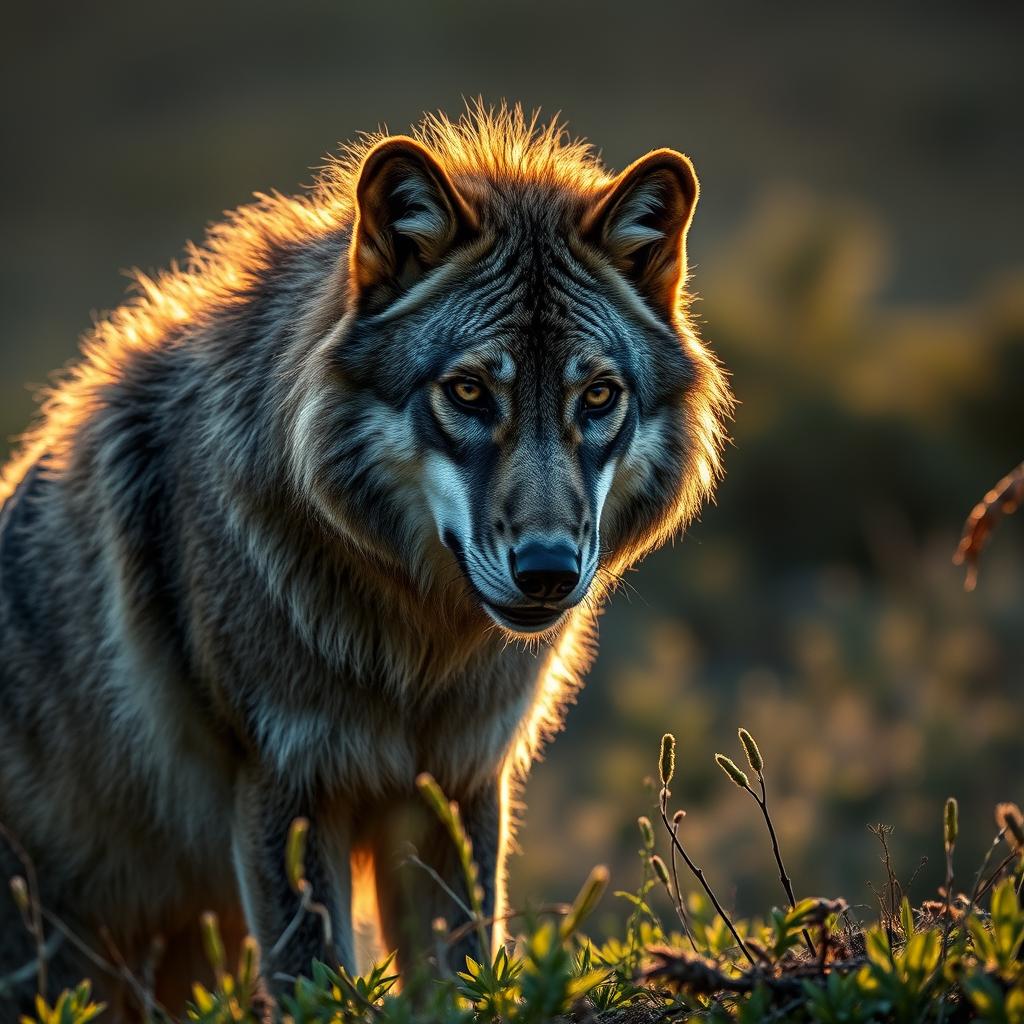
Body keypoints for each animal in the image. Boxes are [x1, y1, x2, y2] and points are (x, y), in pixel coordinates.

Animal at [0, 105, 731, 1017]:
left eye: (597, 397)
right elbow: (317, 982)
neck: (418, 652)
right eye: (468, 393)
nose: (548, 571)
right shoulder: (286, 791)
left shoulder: (456, 782)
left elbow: (461, 975)